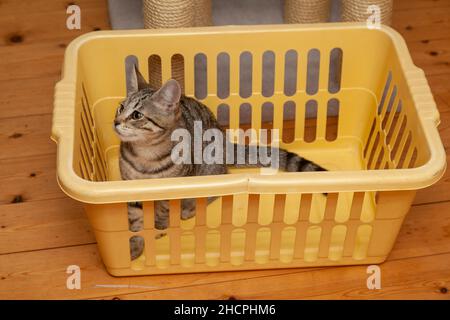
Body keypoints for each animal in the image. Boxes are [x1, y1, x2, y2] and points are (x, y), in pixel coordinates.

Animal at [112, 65, 324, 260]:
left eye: (137, 115)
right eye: (121, 108)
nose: (116, 121)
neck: (145, 155)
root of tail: (225, 142)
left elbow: (163, 211)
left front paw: (159, 226)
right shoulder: (130, 188)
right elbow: (136, 219)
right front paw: (135, 244)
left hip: (207, 173)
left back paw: (189, 208)